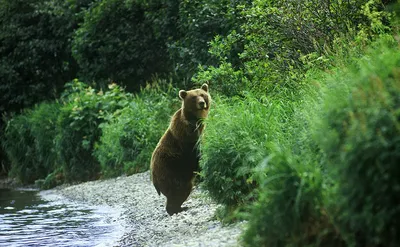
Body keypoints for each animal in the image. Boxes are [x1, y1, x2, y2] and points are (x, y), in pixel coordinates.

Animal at [151, 83, 212, 214]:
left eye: (202, 94)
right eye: (193, 97)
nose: (201, 103)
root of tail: (153, 177)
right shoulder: (186, 137)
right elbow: (196, 153)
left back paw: (180, 207)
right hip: (171, 169)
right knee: (179, 189)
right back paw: (177, 209)